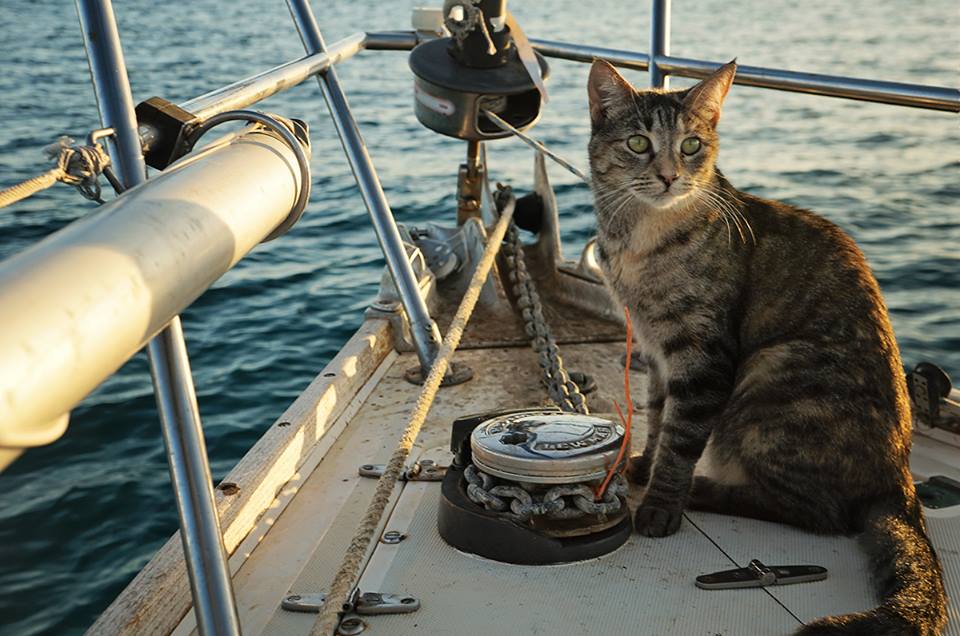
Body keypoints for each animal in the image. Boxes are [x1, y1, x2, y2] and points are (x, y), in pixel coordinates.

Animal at [588, 57, 948, 632]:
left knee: (821, 512)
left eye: (691, 145)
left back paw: (707, 491)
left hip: (771, 373)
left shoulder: (703, 356)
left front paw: (662, 502)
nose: (669, 175)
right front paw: (644, 458)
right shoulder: (655, 349)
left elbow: (681, 439)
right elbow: (658, 415)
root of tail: (900, 484)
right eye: (639, 143)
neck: (639, 240)